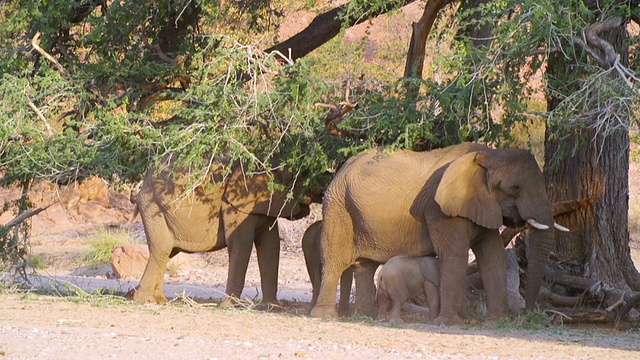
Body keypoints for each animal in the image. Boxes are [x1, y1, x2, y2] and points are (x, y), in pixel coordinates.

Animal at [132, 156, 308, 306]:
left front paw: (272, 306)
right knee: (162, 249)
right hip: (153, 208)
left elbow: (270, 246)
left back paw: (159, 301)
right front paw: (228, 306)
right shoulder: (236, 205)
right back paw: (144, 301)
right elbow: (241, 244)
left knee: (168, 251)